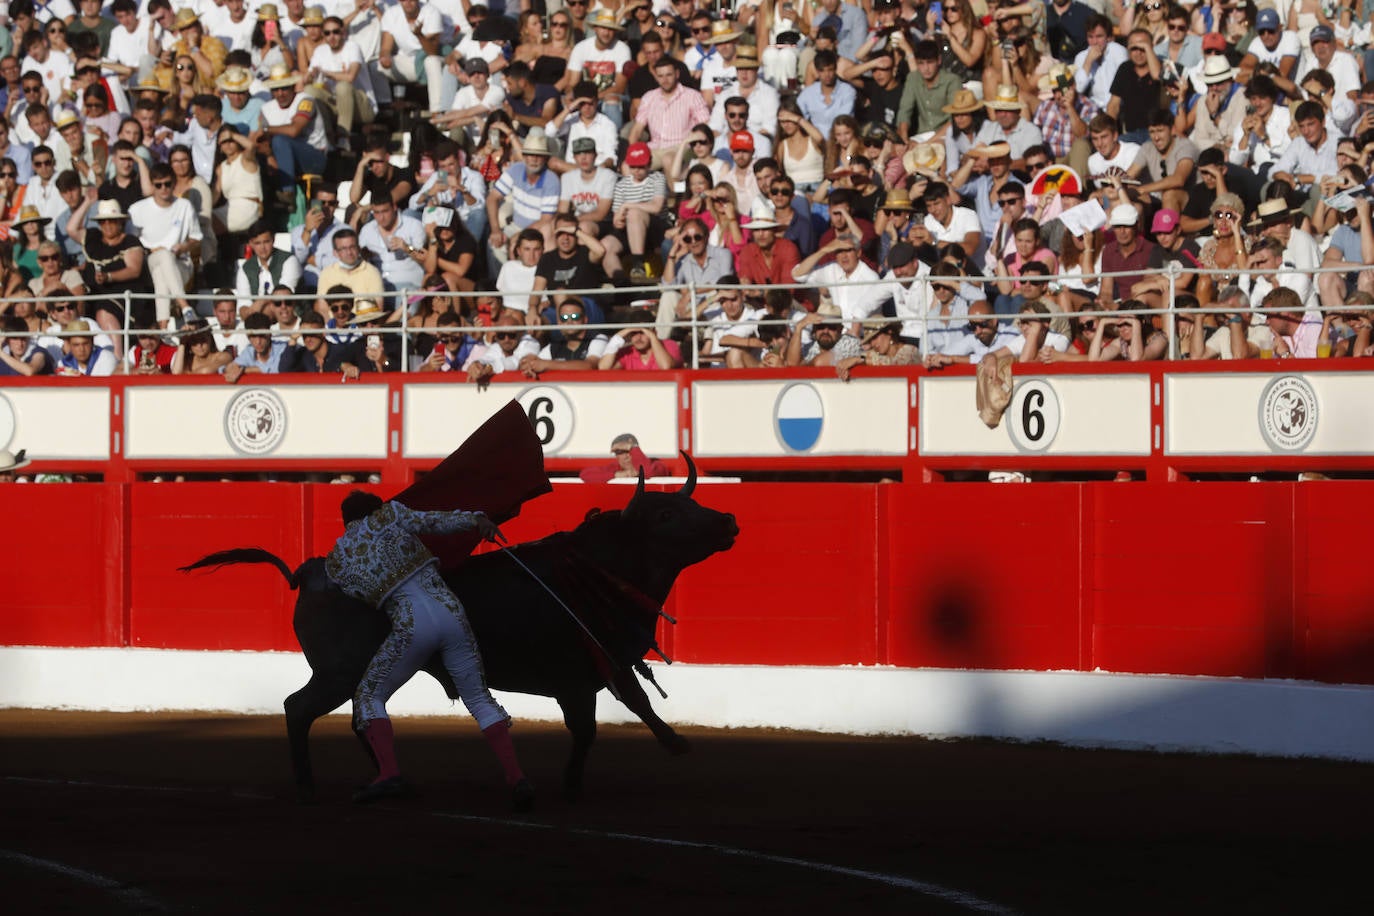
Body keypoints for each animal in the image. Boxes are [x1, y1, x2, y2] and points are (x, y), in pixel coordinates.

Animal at [189, 458, 741, 802]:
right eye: (666, 512)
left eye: (690, 505)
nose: (730, 520)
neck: (598, 567)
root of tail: (310, 570)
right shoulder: (579, 675)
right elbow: (599, 722)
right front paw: (581, 781)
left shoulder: (604, 662)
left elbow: (631, 705)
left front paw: (663, 746)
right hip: (337, 673)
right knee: (299, 708)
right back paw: (310, 786)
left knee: (361, 715)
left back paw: (389, 779)